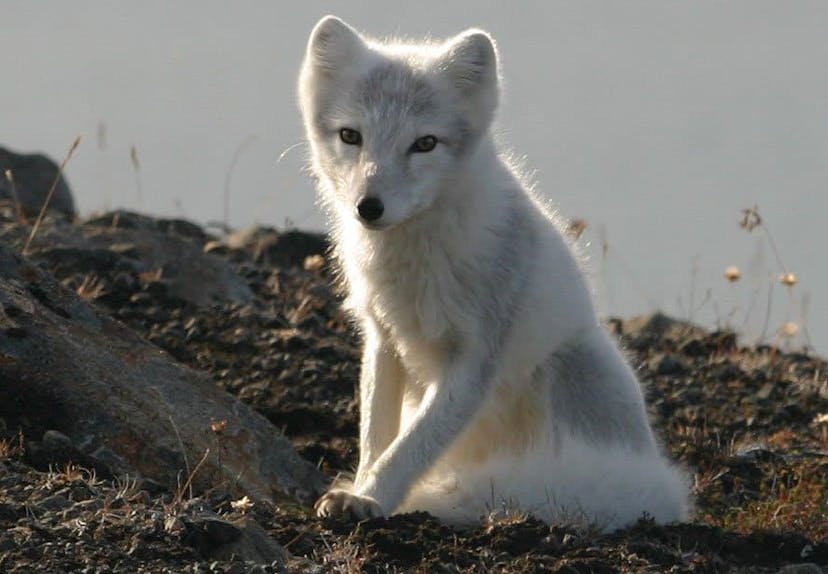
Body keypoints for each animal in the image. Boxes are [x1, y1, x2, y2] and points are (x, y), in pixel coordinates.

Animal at [298, 16, 684, 532]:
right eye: (350, 136)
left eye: (425, 143)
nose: (369, 207)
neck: (412, 256)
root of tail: (665, 491)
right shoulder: (383, 338)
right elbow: (376, 438)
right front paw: (360, 488)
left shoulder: (475, 356)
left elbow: (411, 446)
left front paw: (372, 499)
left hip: (570, 364)